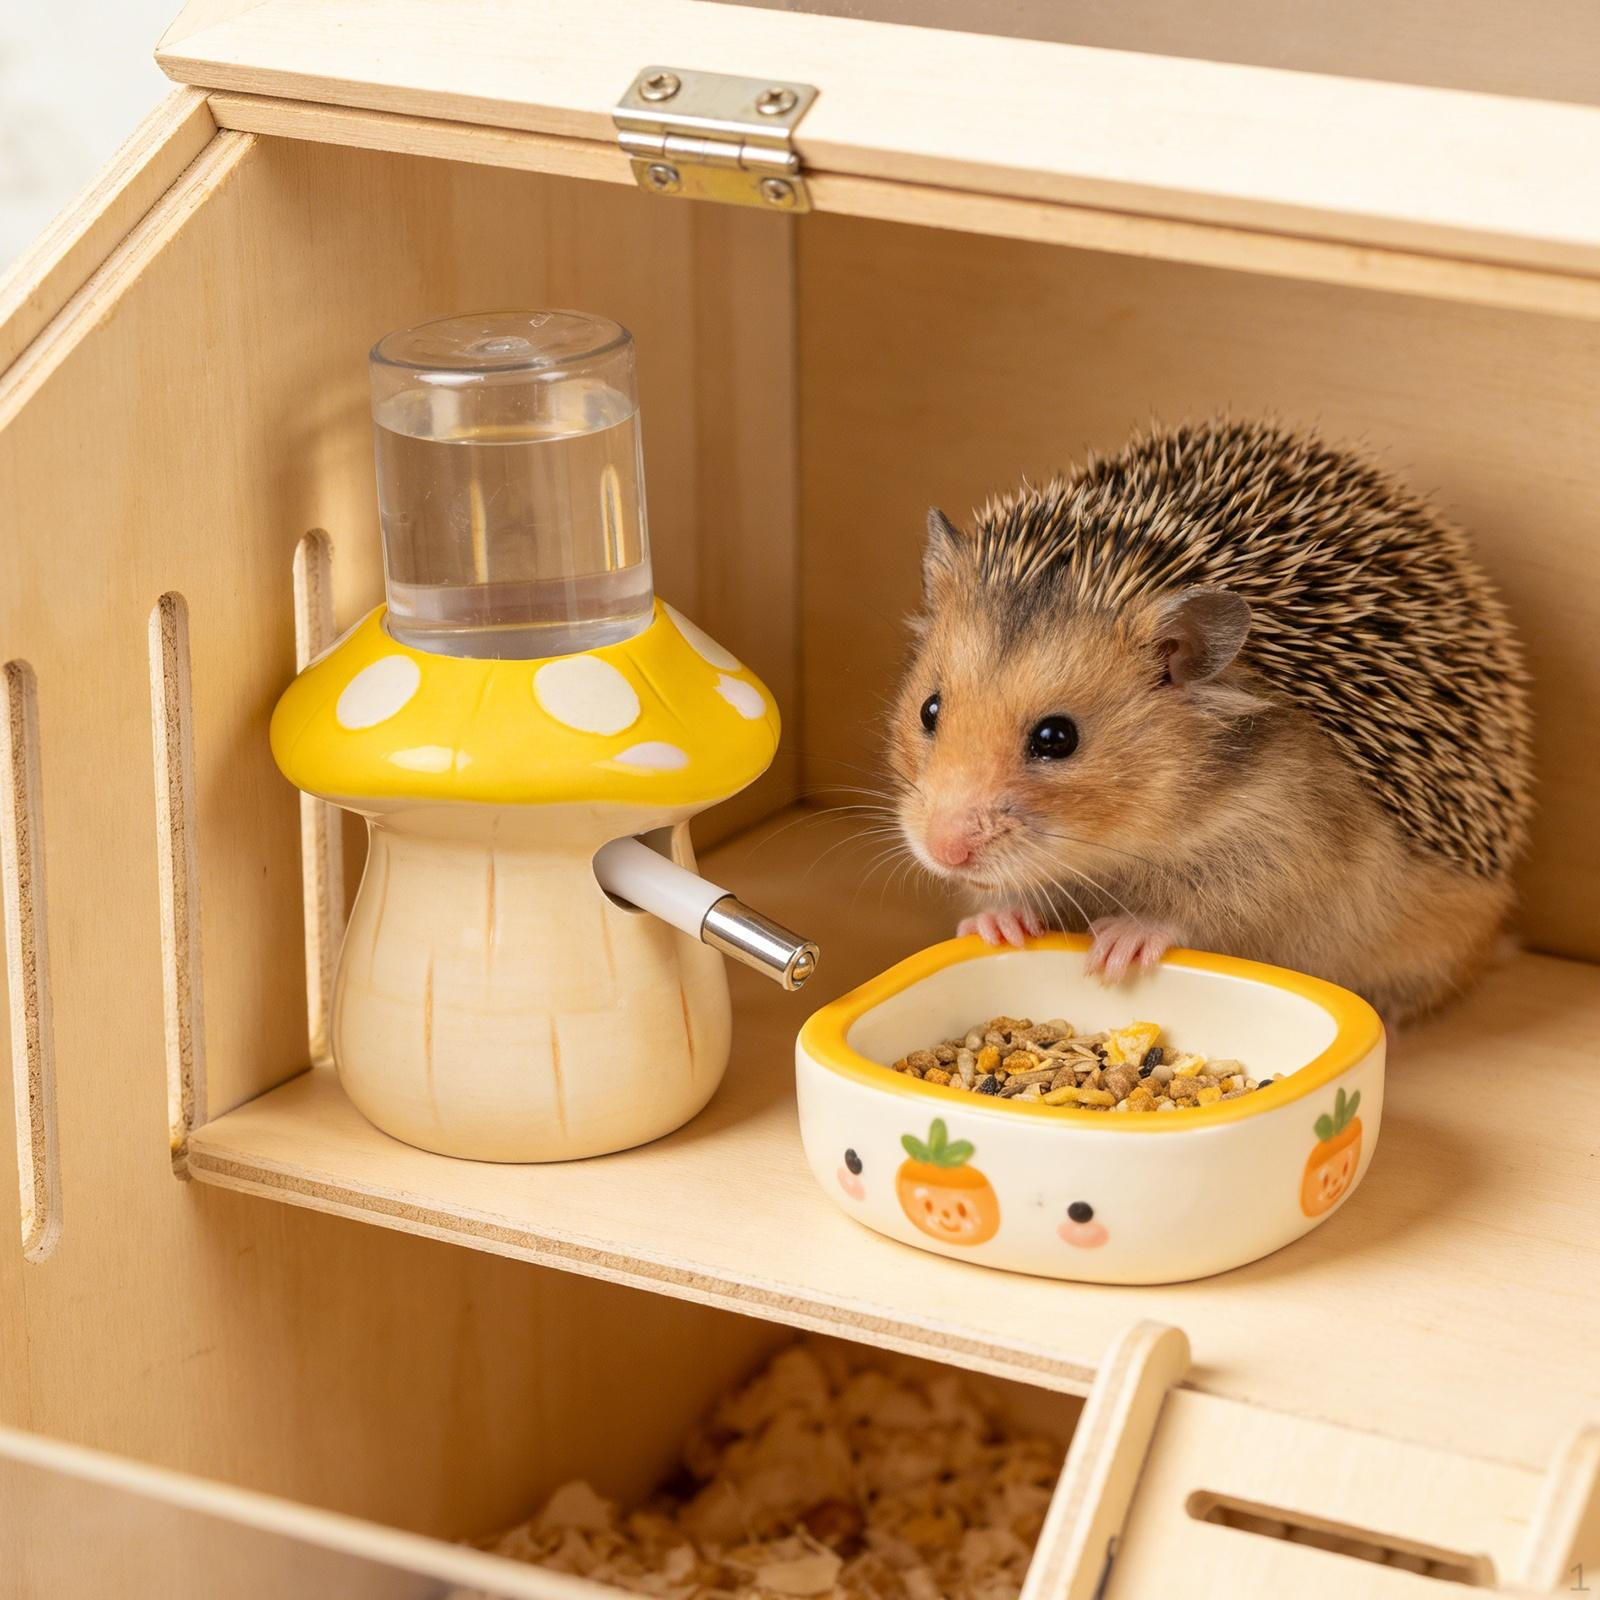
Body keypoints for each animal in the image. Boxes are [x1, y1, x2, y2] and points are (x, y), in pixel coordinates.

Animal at [888, 418, 1534, 1027]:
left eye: (1056, 738)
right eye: (929, 709)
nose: (942, 851)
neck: (1132, 840)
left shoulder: (1292, 844)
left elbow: (1219, 906)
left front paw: (1121, 943)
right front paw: (996, 924)